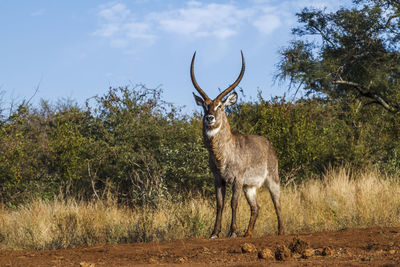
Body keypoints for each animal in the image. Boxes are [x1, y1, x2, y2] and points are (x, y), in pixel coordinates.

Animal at [191, 50, 284, 239]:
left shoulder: (237, 179)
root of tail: (269, 143)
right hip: (250, 187)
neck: (223, 156)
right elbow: (219, 204)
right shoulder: (218, 179)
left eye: (220, 106)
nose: (209, 118)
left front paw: (232, 231)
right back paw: (247, 234)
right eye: (205, 106)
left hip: (272, 179)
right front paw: (214, 233)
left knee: (277, 203)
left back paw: (281, 231)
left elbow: (233, 203)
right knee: (256, 207)